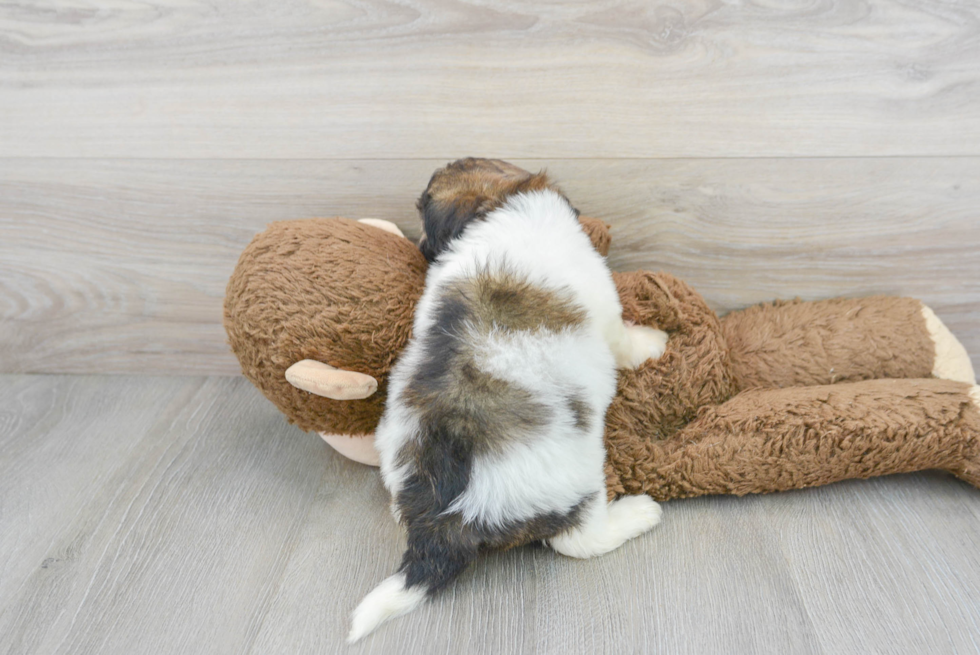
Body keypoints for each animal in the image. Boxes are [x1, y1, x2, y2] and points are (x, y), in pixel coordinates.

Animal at [346, 160, 668, 644]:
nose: (418, 247)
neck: (500, 206)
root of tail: (446, 520)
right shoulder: (607, 310)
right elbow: (625, 340)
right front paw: (656, 342)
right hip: (578, 482)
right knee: (580, 540)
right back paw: (637, 513)